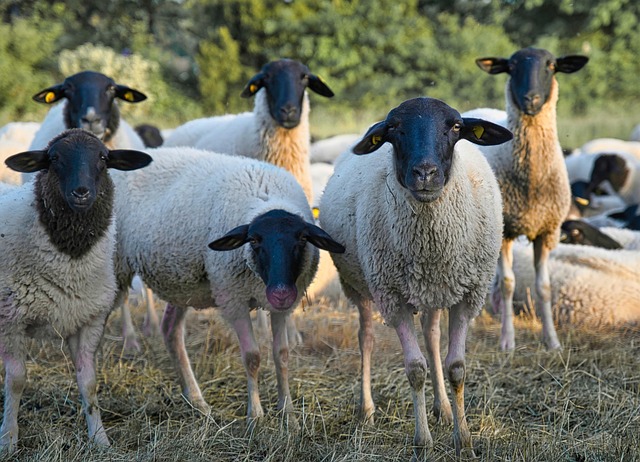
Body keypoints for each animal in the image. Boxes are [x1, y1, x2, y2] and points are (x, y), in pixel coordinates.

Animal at [0, 129, 152, 451]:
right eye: (54, 158)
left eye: (104, 158)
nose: (81, 192)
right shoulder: (11, 318)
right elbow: (16, 381)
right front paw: (8, 441)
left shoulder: (88, 319)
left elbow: (89, 383)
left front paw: (100, 440)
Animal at [109, 147, 345, 421]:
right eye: (253, 240)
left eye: (302, 239)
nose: (280, 293)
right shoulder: (233, 299)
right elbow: (252, 357)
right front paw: (256, 416)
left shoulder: (283, 307)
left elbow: (282, 355)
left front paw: (288, 413)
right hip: (116, 267)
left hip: (182, 284)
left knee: (170, 331)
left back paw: (196, 399)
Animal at [319, 97, 513, 458]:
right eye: (393, 127)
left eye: (455, 126)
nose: (425, 173)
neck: (430, 241)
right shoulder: (393, 299)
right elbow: (415, 370)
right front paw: (423, 441)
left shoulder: (468, 295)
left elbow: (456, 367)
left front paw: (464, 440)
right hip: (359, 285)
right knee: (366, 338)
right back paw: (366, 410)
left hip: (435, 290)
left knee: (432, 336)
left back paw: (443, 408)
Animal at [464, 47, 588, 351]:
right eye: (512, 66)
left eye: (551, 65)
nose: (531, 99)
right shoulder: (505, 231)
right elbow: (509, 283)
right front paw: (507, 341)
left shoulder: (547, 231)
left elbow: (543, 287)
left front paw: (552, 340)